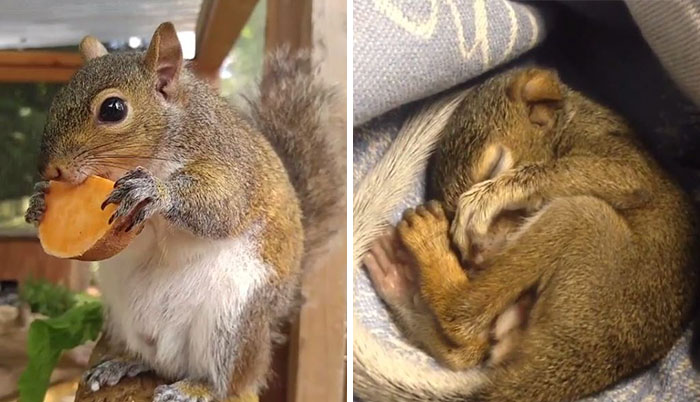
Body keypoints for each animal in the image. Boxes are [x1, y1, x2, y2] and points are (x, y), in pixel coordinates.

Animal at [25, 22, 344, 402]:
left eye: (113, 109)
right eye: (59, 97)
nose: (49, 170)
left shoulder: (230, 164)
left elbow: (223, 207)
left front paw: (155, 191)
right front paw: (38, 201)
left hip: (232, 324)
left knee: (231, 382)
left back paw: (196, 387)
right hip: (120, 317)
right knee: (150, 359)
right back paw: (121, 363)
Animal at [364, 68, 698, 401]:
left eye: (495, 167)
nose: (476, 258)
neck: (570, 123)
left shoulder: (616, 152)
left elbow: (625, 176)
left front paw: (486, 198)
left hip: (583, 226)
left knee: (462, 317)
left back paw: (424, 247)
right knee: (468, 346)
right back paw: (401, 280)